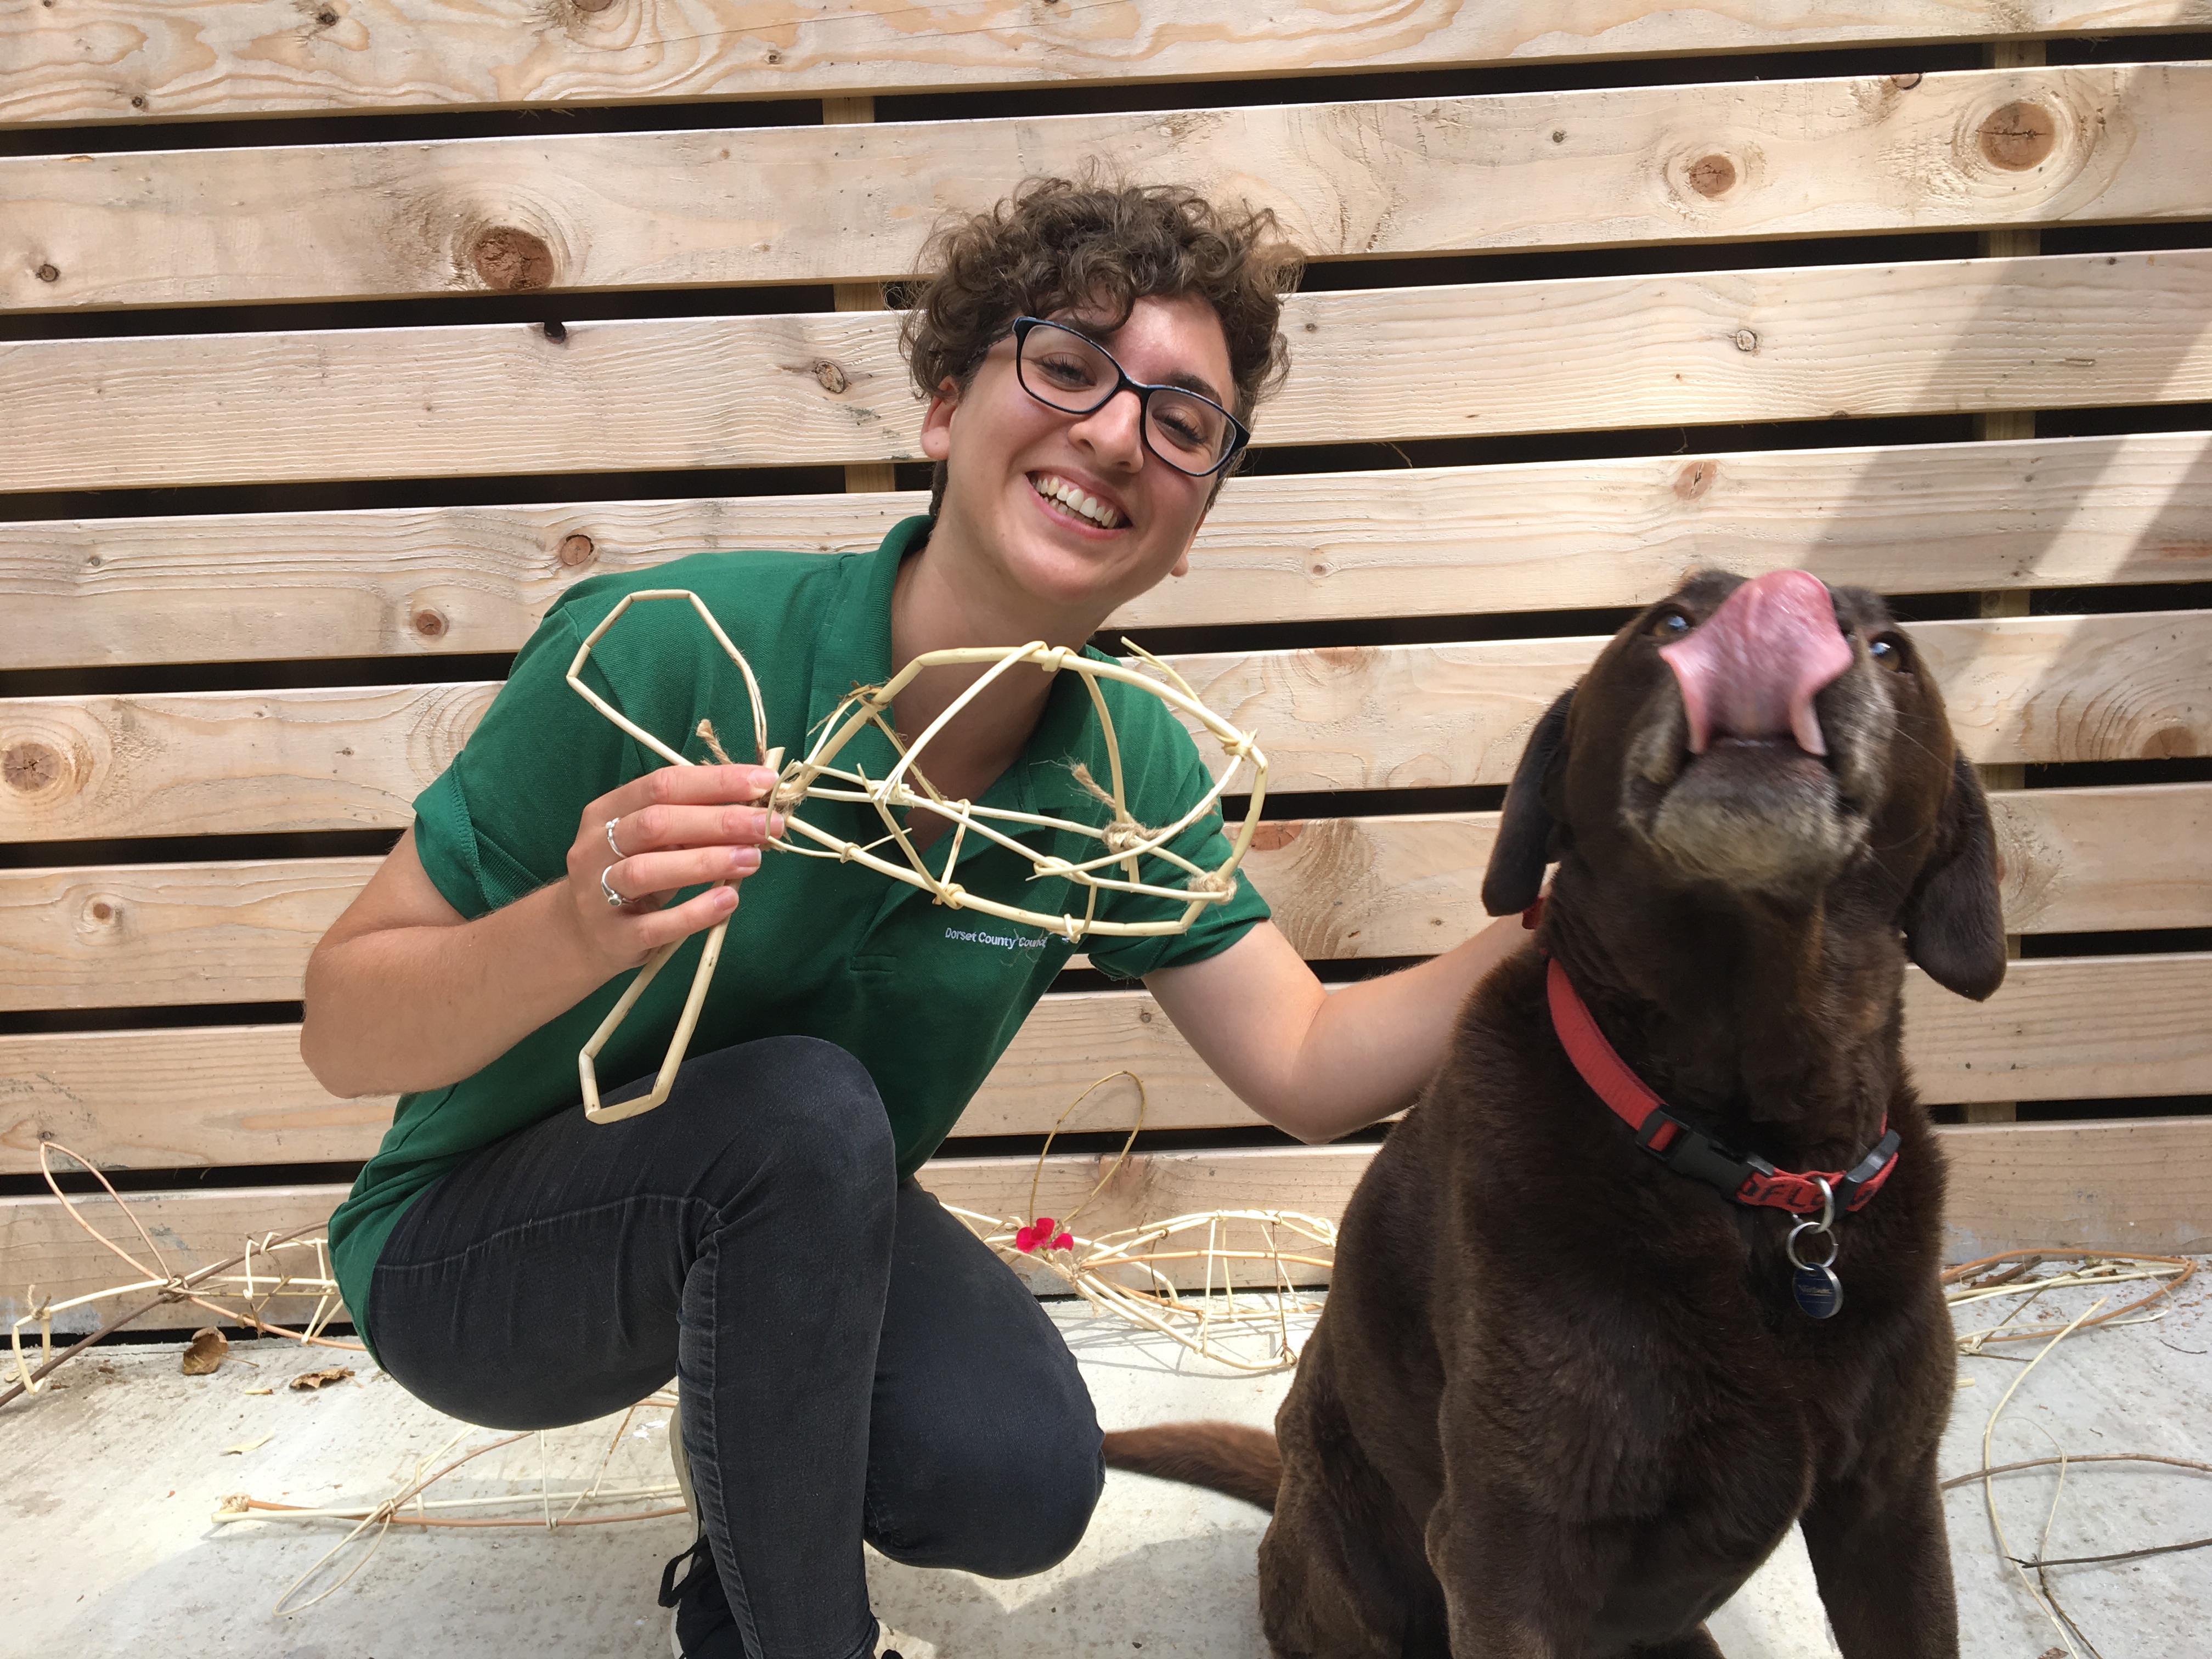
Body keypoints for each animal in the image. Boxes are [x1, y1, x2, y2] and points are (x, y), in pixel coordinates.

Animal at [1106, 571, 2008, 1659]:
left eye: (1889, 650)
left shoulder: (1892, 1508)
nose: (1783, 609)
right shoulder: (1506, 1552)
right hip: (1354, 1562)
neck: (1748, 1166)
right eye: (1671, 621)